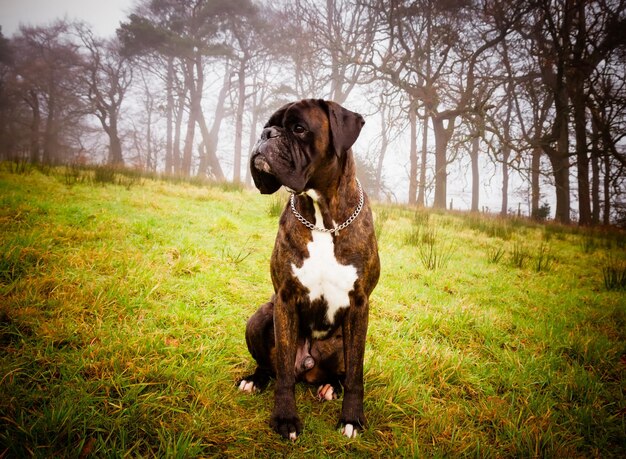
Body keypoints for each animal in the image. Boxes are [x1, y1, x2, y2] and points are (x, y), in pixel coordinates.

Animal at [236, 99, 378, 440]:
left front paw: (352, 419)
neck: (323, 219)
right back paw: (254, 380)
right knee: (275, 368)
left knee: (341, 372)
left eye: (299, 128)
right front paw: (285, 418)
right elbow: (285, 376)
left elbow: (356, 374)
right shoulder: (285, 299)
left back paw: (329, 387)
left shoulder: (359, 306)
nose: (266, 134)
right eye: (268, 125)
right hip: (261, 316)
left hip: (341, 340)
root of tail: (308, 367)